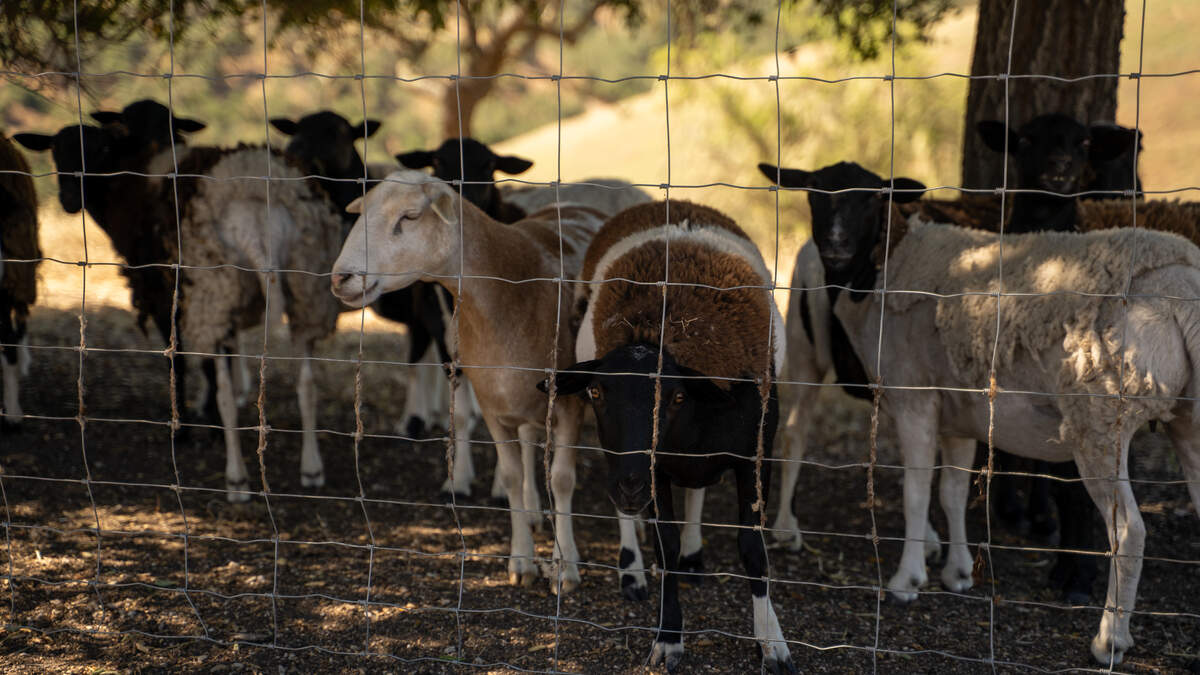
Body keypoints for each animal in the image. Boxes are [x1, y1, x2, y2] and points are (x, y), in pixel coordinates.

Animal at [331, 169, 605, 593]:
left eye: (409, 216)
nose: (341, 277)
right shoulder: (493, 403)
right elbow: (510, 476)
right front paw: (521, 560)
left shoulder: (569, 406)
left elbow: (562, 480)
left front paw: (565, 568)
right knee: (529, 442)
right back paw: (532, 512)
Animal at [548, 199, 793, 673]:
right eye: (596, 391)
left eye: (677, 396)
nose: (630, 486)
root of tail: (671, 202)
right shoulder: (651, 468)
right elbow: (665, 543)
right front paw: (668, 639)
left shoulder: (755, 455)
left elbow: (753, 548)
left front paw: (772, 643)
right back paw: (630, 570)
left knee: (695, 490)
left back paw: (692, 558)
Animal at [809, 194, 1200, 664]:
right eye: (814, 193)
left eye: (869, 201)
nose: (836, 249)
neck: (890, 265)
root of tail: (1182, 289)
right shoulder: (959, 414)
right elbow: (952, 492)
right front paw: (958, 573)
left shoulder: (914, 399)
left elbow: (915, 492)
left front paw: (907, 581)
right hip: (1188, 420)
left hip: (1101, 419)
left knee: (1129, 532)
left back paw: (1109, 641)